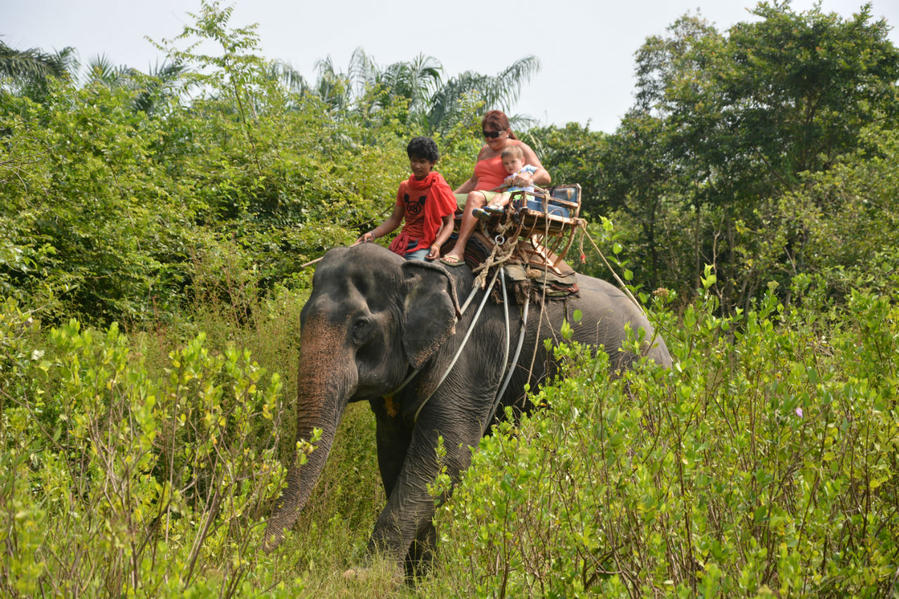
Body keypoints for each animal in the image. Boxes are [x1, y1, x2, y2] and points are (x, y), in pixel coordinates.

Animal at [264, 243, 672, 572]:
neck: (415, 270)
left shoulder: (475, 356)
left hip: (628, 383)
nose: (263, 553)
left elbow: (447, 455)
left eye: (360, 325)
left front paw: (363, 577)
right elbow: (397, 456)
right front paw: (419, 578)